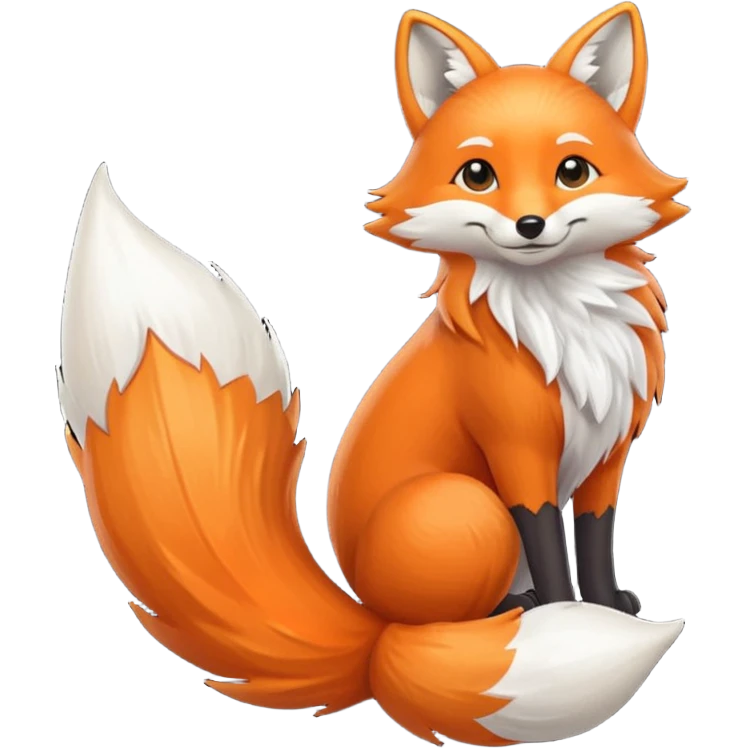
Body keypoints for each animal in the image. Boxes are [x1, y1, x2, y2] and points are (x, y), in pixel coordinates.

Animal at [57, 4, 688, 746]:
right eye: (478, 174)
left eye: (572, 170)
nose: (531, 224)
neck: (564, 326)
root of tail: (369, 632)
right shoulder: (519, 451)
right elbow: (549, 542)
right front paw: (566, 617)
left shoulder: (606, 455)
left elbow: (593, 538)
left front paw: (607, 607)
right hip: (466, 507)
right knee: (455, 613)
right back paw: (512, 616)